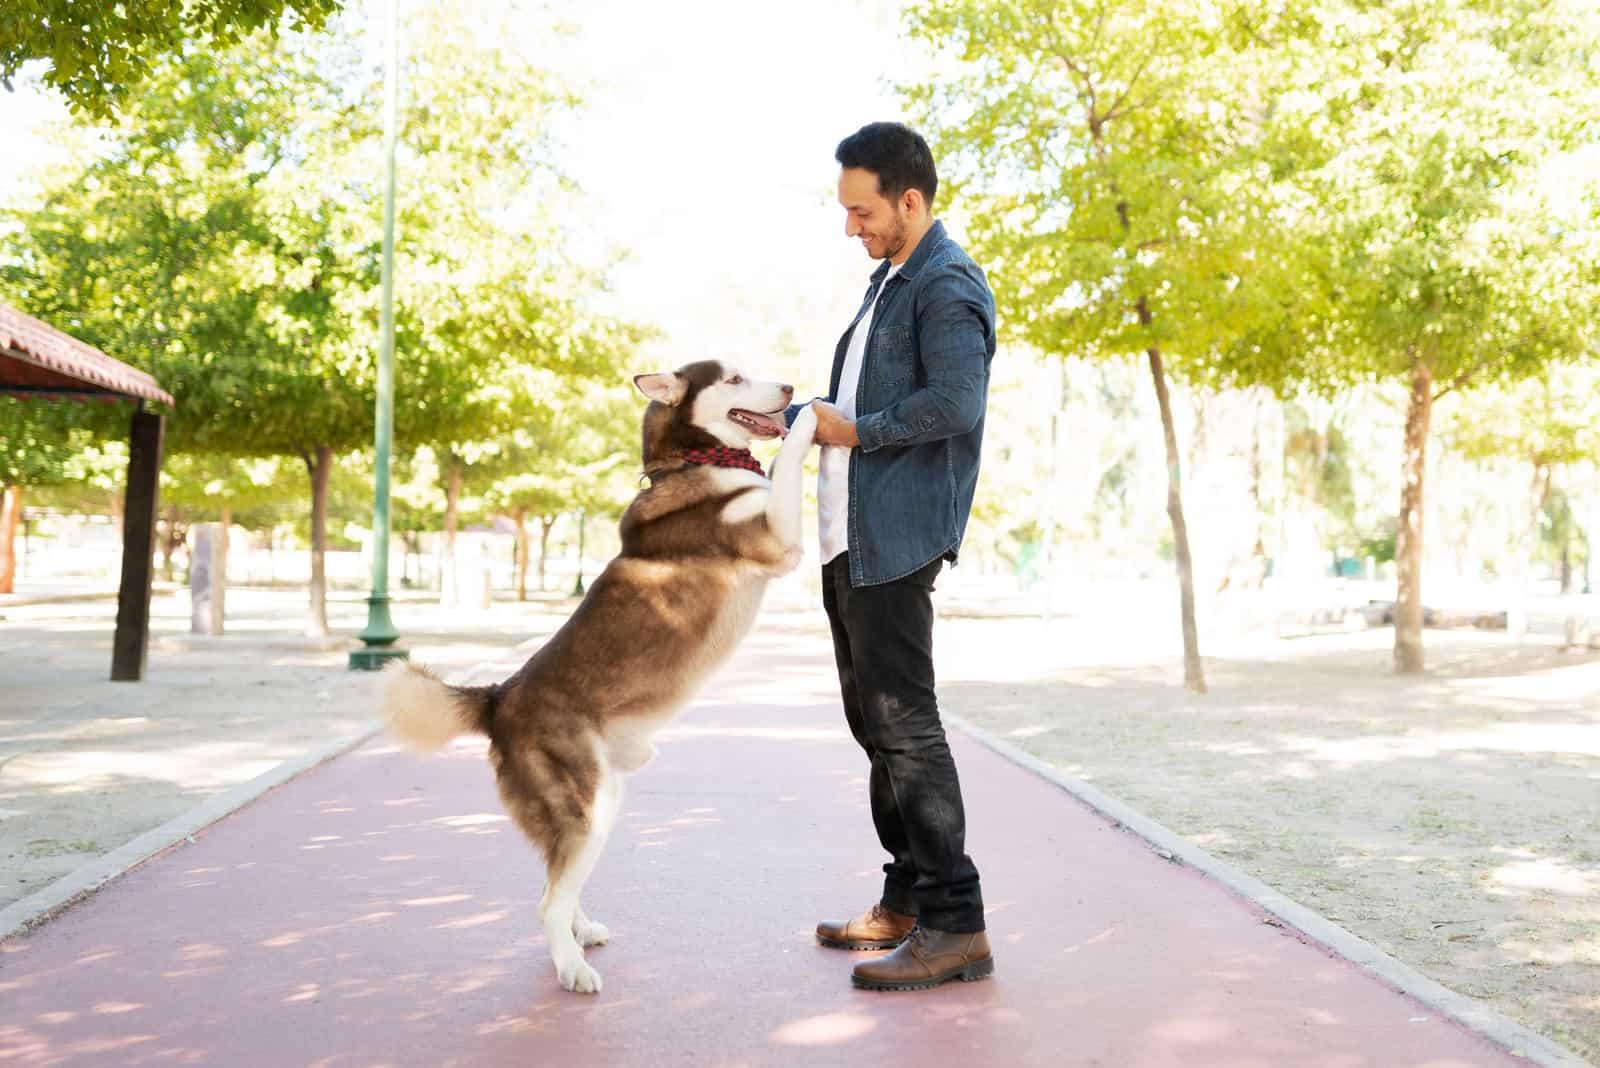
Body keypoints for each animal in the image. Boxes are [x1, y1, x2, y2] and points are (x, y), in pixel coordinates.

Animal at [380, 361, 819, 991]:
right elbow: (787, 464)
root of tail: (498, 699)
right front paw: (814, 419)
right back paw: (571, 968)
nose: (787, 387)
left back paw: (580, 931)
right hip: (587, 803)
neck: (696, 459)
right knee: (547, 901)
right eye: (735, 378)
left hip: (593, 805)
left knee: (556, 882)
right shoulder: (777, 543)